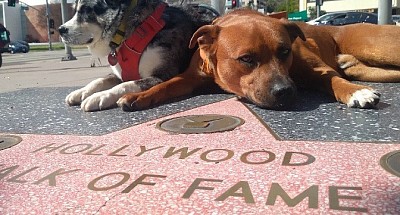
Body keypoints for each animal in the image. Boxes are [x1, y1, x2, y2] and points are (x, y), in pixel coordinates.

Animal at [116, 8, 400, 111]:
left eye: (285, 51)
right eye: (246, 59)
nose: (284, 91)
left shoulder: (318, 69)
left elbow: (333, 80)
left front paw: (357, 92)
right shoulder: (189, 78)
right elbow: (165, 85)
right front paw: (137, 96)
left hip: (377, 46)